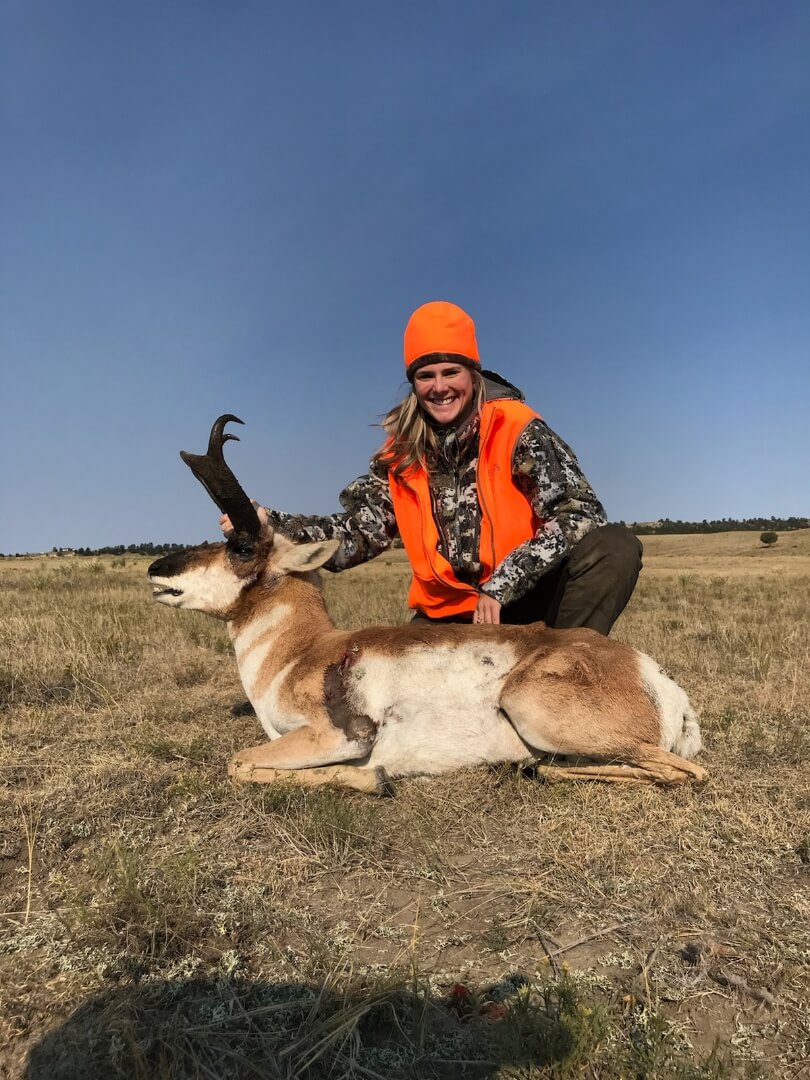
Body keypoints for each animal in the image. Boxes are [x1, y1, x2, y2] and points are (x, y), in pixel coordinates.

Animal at [148, 415, 706, 795]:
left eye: (241, 547)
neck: (302, 651)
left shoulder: (332, 737)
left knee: (685, 772)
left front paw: (374, 779)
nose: (157, 570)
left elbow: (239, 762)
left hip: (529, 706)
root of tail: (653, 677)